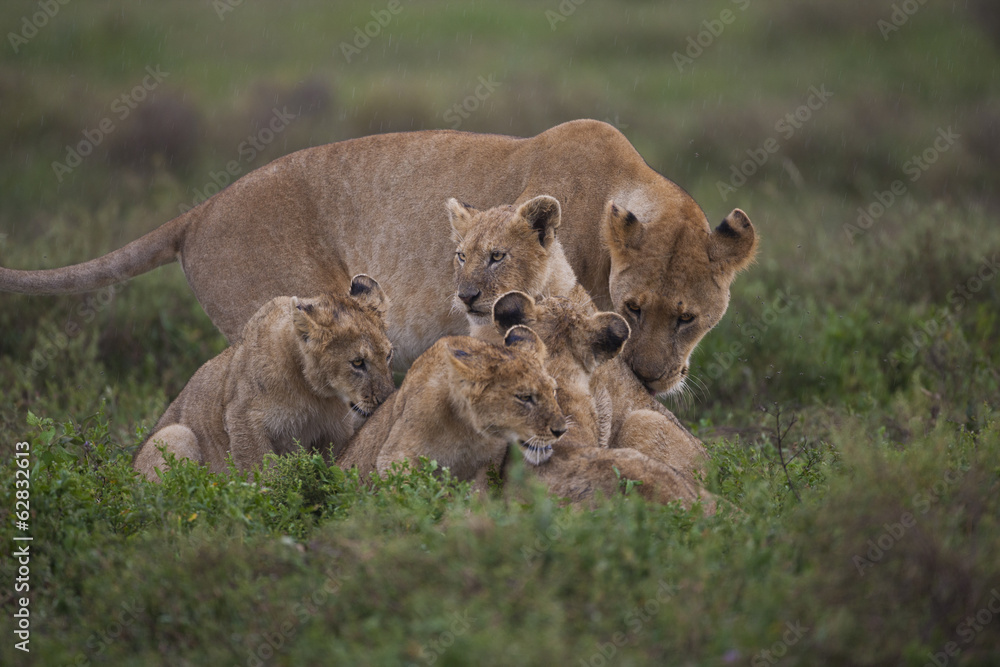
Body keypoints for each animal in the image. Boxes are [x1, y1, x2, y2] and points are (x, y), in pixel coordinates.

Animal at [132, 274, 395, 481]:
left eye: (388, 355)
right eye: (357, 362)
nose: (386, 399)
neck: (315, 394)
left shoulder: (336, 431)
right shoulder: (242, 418)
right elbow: (260, 471)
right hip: (175, 434)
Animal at [337, 325, 567, 483]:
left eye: (553, 392)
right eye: (525, 397)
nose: (561, 431)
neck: (468, 432)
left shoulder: (487, 466)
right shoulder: (393, 458)